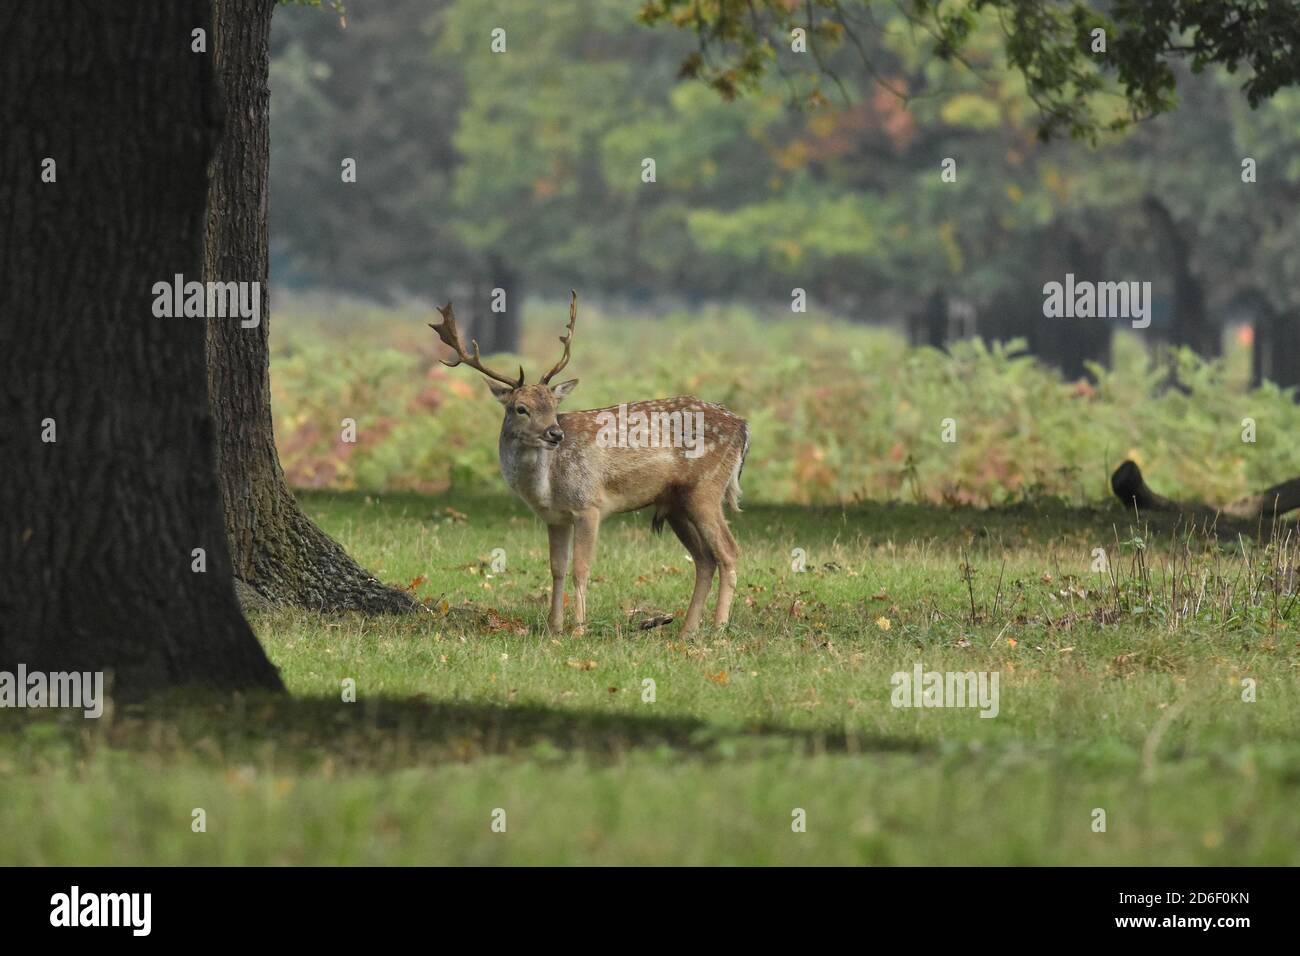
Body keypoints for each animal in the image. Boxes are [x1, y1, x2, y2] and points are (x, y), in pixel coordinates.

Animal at [429, 293, 749, 635]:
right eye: (520, 408)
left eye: (553, 405)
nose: (555, 433)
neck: (545, 485)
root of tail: (743, 426)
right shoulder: (555, 517)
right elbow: (557, 567)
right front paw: (554, 627)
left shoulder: (588, 504)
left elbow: (581, 568)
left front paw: (579, 629)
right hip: (677, 503)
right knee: (705, 559)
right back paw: (688, 630)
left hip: (706, 488)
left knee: (729, 551)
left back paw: (718, 627)